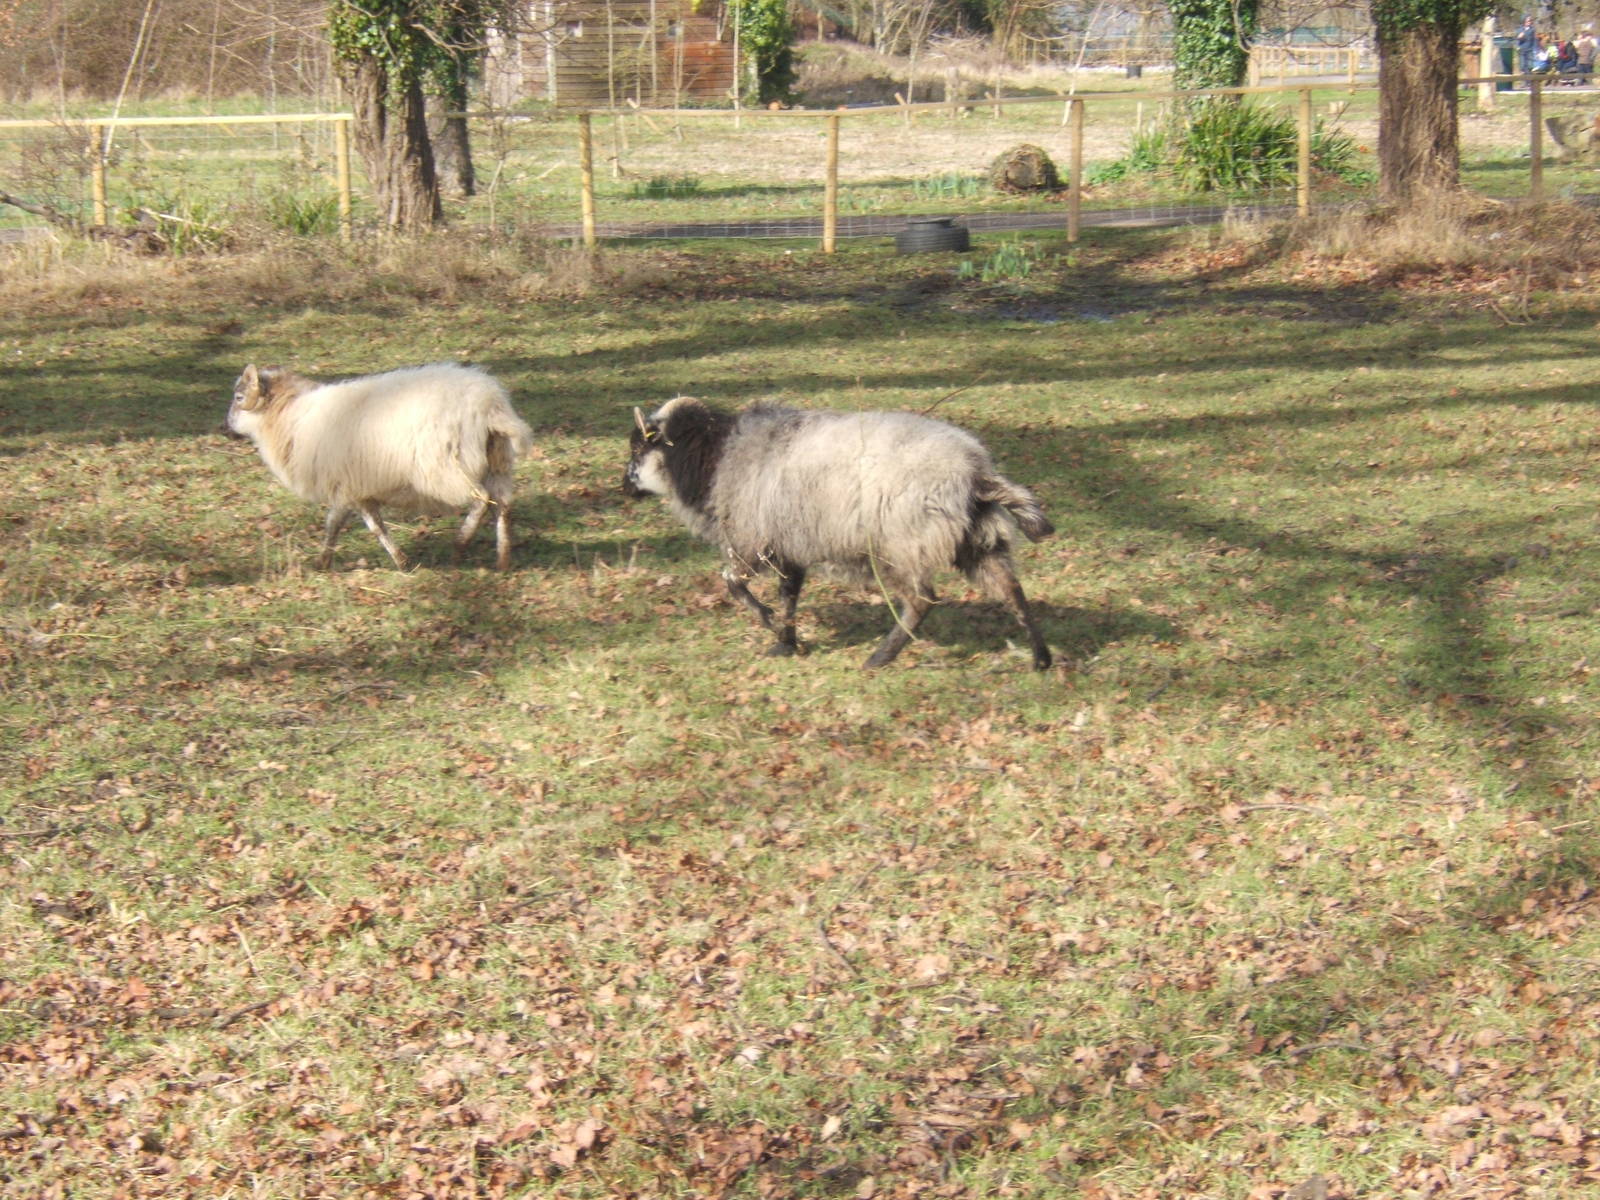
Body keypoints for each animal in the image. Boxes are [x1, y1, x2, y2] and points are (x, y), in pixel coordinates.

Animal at [226, 362, 534, 571]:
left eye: (239, 398)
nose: (225, 428)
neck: (287, 415)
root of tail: (490, 407)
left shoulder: (347, 486)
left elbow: (357, 525)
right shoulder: (352, 486)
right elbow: (354, 523)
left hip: (447, 468)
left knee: (481, 499)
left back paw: (460, 544)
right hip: (497, 464)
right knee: (502, 505)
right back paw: (503, 559)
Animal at [622, 397, 1054, 670]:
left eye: (637, 451)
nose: (623, 488)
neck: (711, 459)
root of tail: (974, 473)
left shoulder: (752, 541)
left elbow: (733, 584)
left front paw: (770, 624)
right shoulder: (788, 544)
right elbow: (789, 595)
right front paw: (785, 642)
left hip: (901, 545)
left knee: (921, 600)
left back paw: (879, 658)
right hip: (979, 541)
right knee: (1012, 589)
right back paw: (1041, 658)